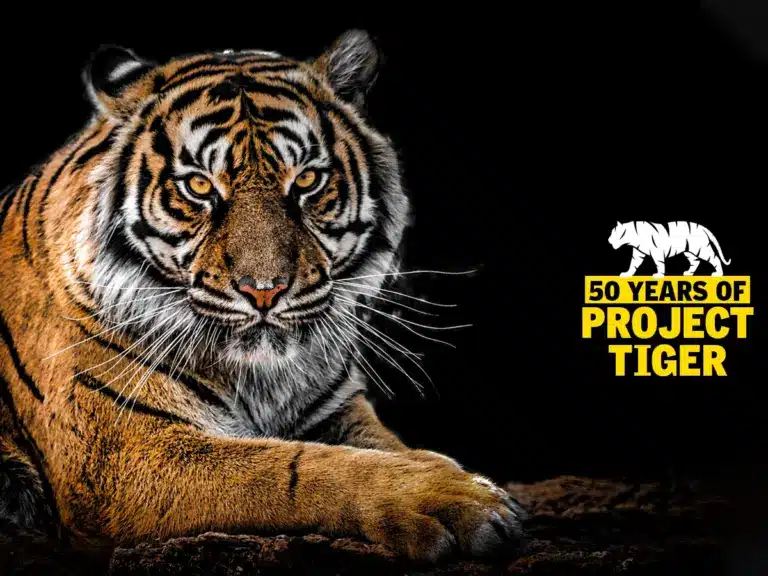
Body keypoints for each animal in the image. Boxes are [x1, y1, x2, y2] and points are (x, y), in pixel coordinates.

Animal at [0, 30, 525, 563]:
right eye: (198, 186)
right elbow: (296, 468)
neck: (262, 379)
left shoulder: (336, 408)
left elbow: (381, 446)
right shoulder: (119, 455)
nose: (264, 290)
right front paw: (453, 497)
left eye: (308, 180)